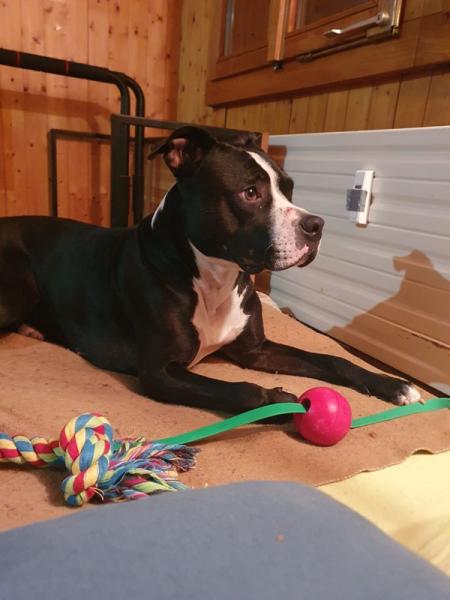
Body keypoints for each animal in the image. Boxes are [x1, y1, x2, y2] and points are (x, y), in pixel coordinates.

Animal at [0, 126, 420, 413]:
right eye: (250, 192)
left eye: (289, 188)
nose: (316, 225)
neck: (216, 276)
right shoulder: (161, 372)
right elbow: (242, 389)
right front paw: (277, 400)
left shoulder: (256, 350)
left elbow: (332, 359)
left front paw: (389, 384)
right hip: (19, 285)